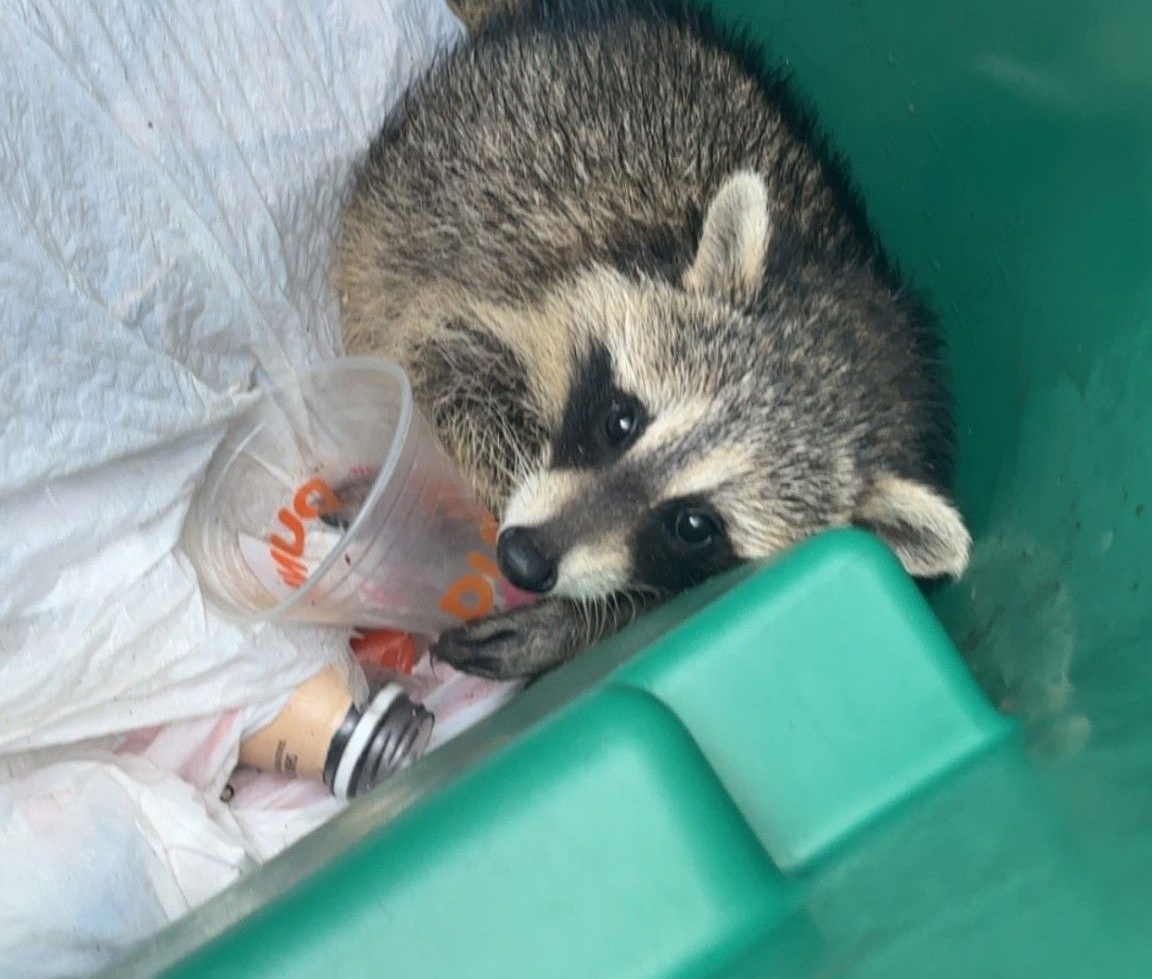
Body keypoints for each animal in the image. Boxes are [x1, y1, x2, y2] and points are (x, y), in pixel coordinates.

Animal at [336, 0, 970, 679]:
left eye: (694, 526)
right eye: (620, 420)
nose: (523, 559)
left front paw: (588, 616)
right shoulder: (518, 286)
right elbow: (448, 359)